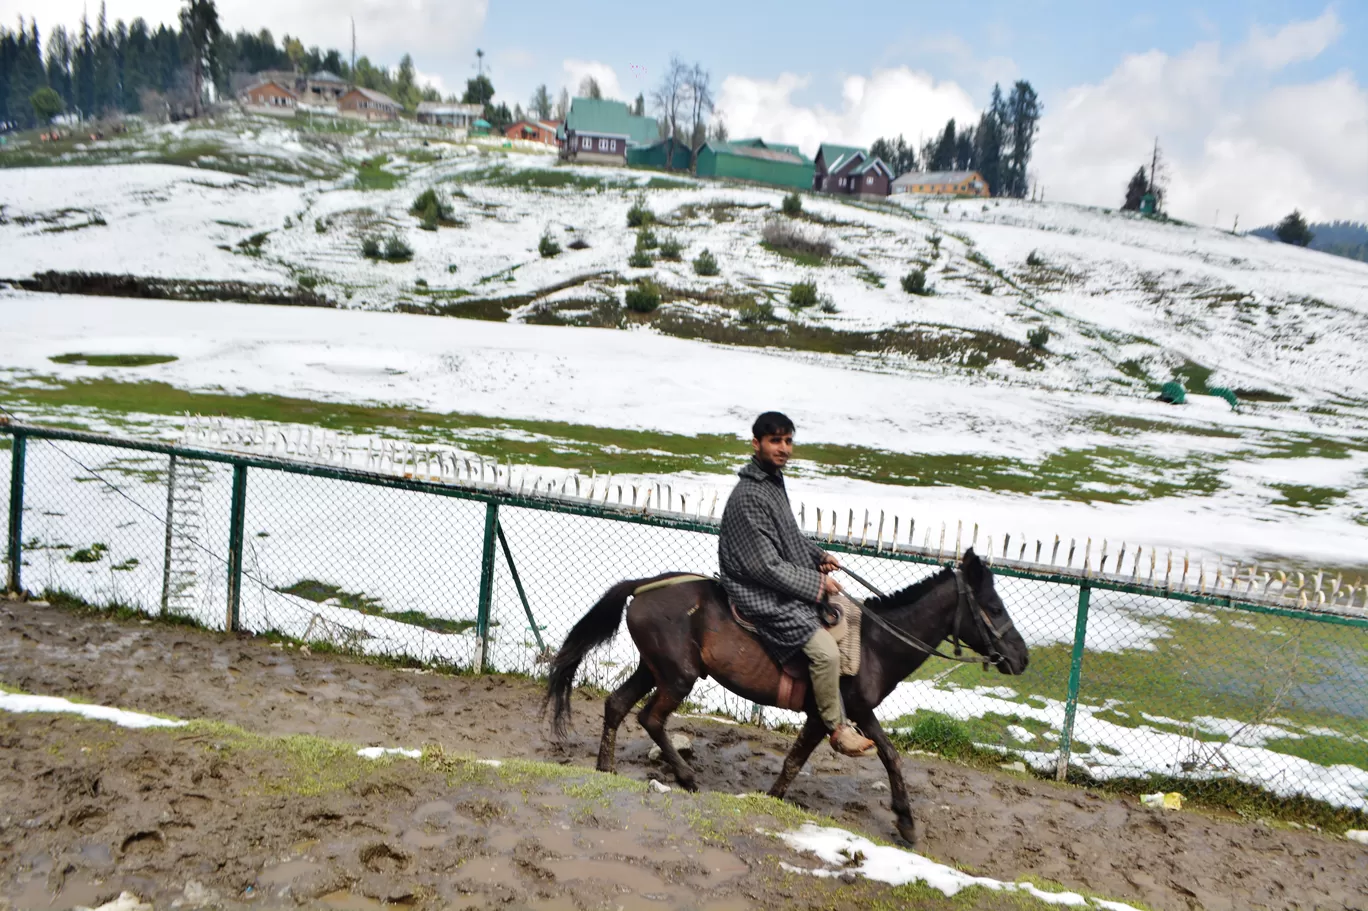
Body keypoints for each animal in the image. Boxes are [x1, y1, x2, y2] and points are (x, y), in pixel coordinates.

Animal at [544, 541, 1028, 842]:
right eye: (994, 606)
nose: (1021, 658)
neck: (874, 642)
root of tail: (642, 587)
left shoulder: (855, 712)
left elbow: (886, 755)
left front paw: (906, 822)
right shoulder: (830, 712)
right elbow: (800, 760)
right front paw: (775, 800)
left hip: (654, 669)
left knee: (617, 705)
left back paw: (605, 768)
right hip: (677, 677)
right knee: (650, 718)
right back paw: (686, 777)